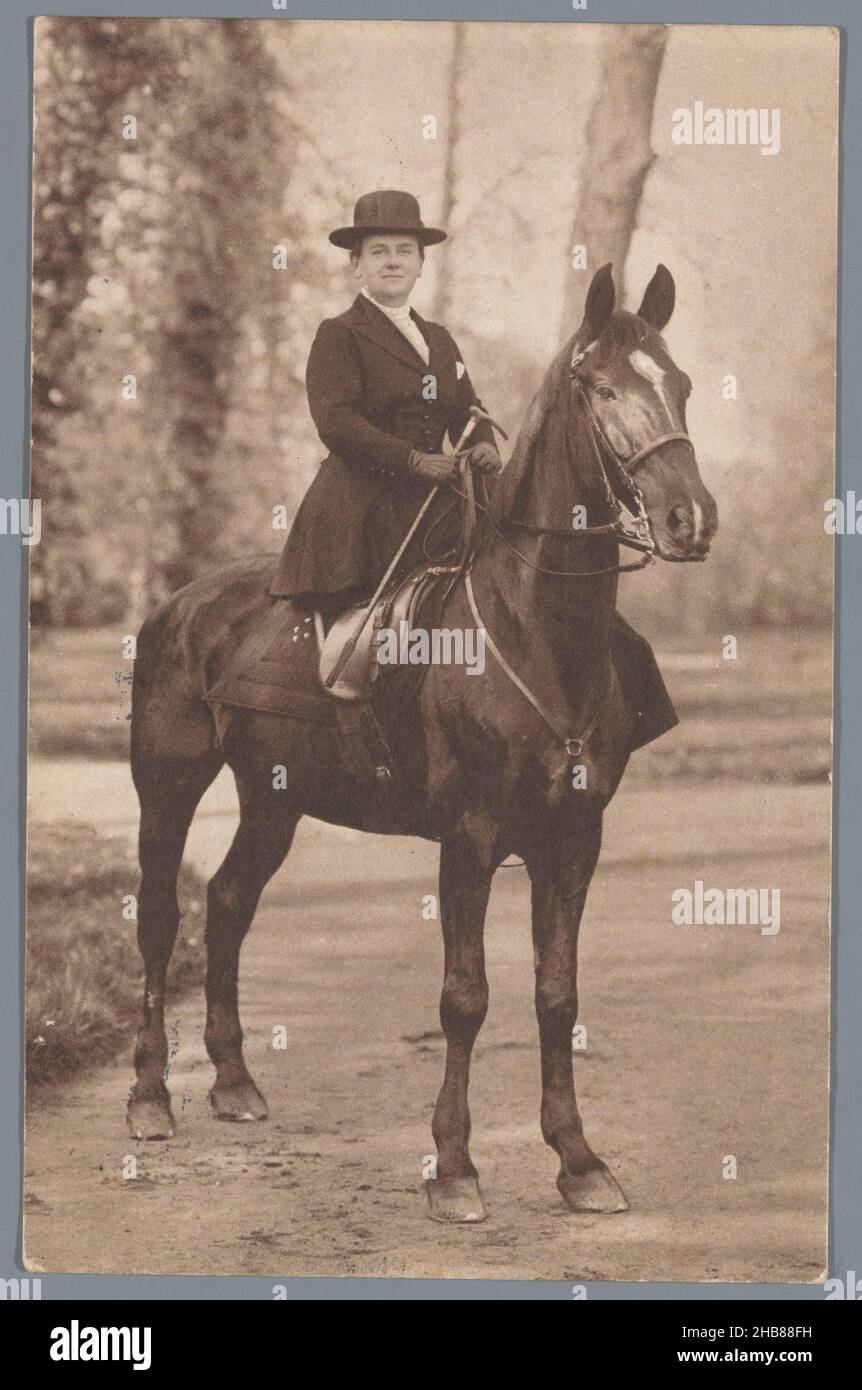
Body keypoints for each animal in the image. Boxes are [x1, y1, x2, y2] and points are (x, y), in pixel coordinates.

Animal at [127, 263, 717, 1223]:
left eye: (684, 384)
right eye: (600, 388)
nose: (689, 518)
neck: (534, 631)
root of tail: (179, 605)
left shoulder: (574, 839)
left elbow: (557, 996)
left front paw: (578, 1159)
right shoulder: (469, 838)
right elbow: (465, 999)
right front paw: (455, 1167)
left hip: (275, 799)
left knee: (227, 901)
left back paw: (235, 1082)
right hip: (168, 784)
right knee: (158, 917)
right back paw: (149, 1099)